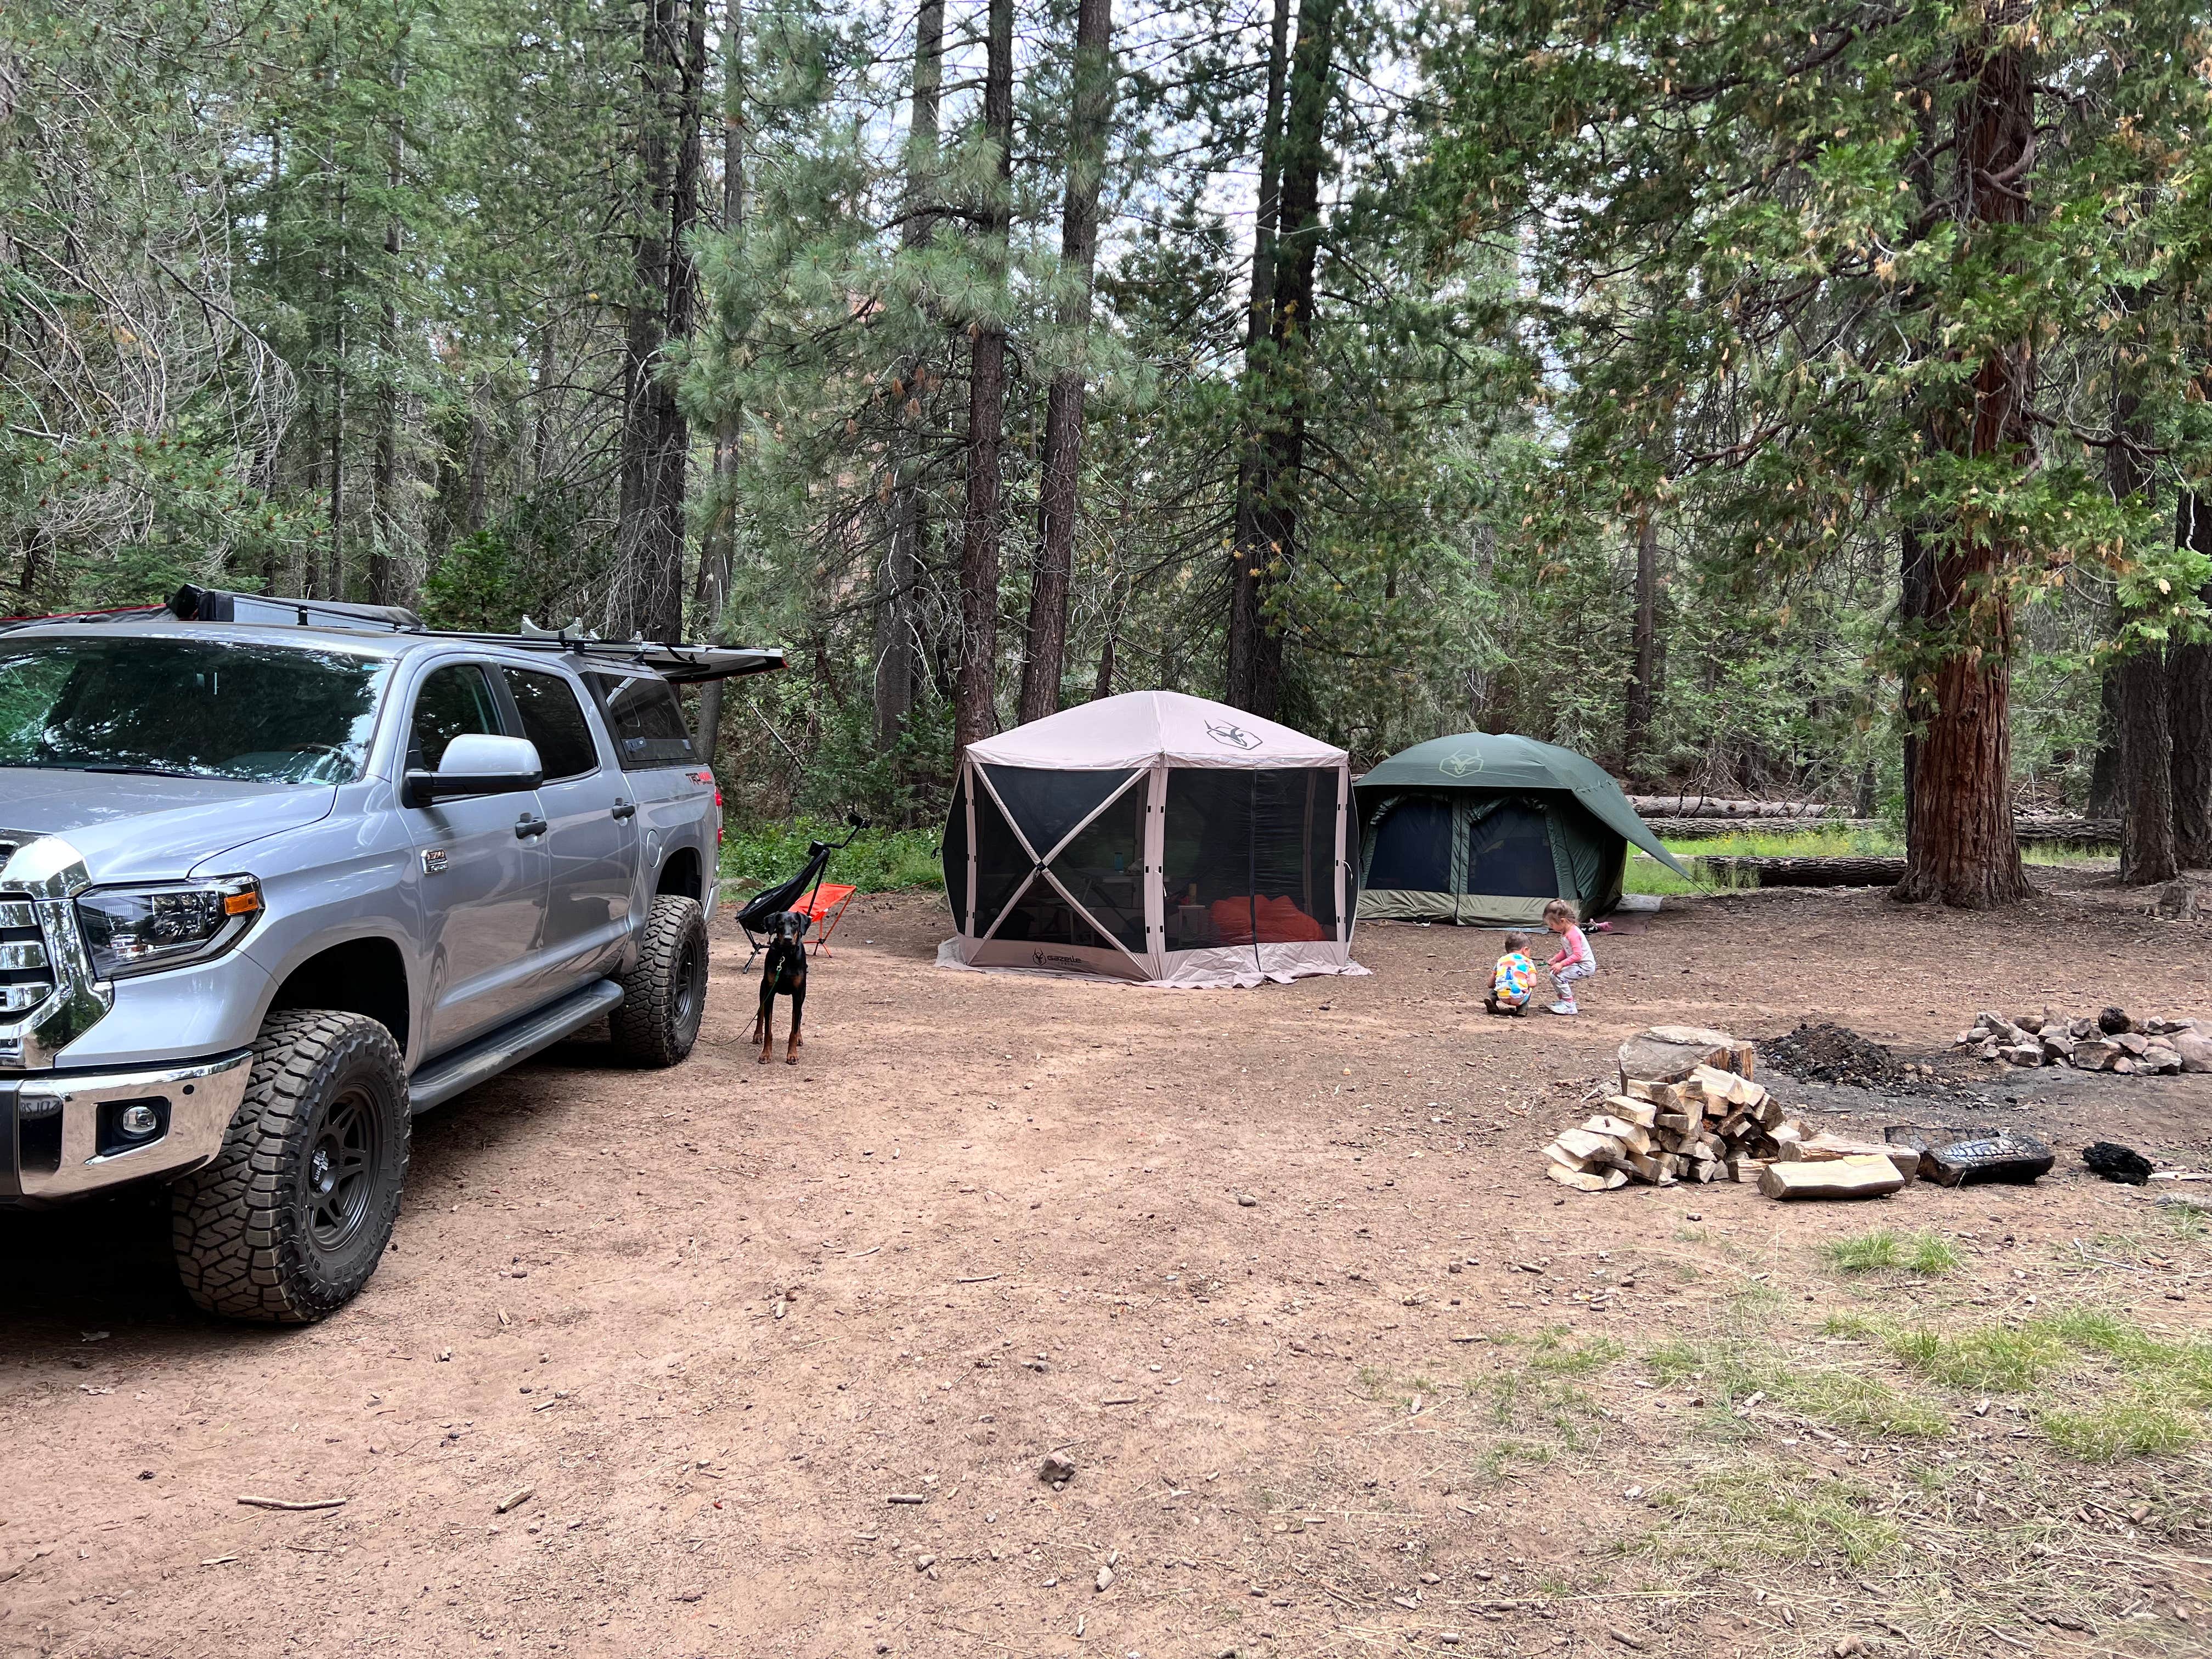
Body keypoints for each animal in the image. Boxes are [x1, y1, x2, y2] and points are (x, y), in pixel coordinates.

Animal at [756, 911, 809, 1066]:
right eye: (780, 924)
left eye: (795, 924)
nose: (787, 939)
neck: (786, 956)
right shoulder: (770, 993)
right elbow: (768, 1029)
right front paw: (766, 1054)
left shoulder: (798, 995)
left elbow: (794, 1028)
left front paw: (792, 1055)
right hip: (763, 989)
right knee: (760, 1012)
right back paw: (757, 1035)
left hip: (803, 994)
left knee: (799, 1017)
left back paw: (799, 1037)